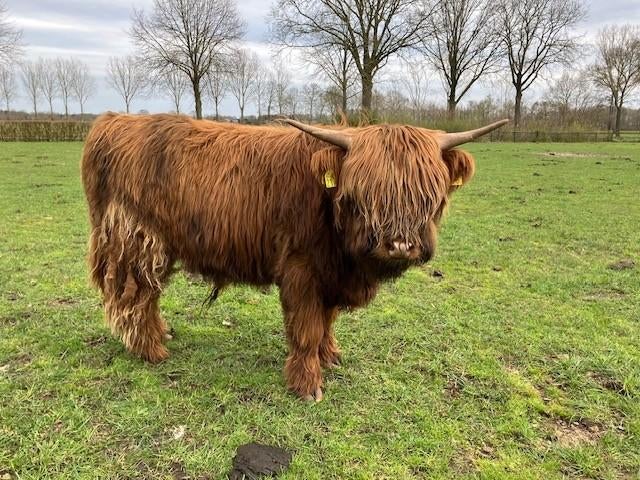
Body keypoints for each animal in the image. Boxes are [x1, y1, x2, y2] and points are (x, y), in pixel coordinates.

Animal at [81, 114, 508, 401]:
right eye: (363, 195)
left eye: (429, 196)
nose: (400, 244)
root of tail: (114, 120)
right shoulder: (301, 269)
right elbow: (306, 328)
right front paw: (307, 384)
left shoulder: (331, 274)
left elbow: (327, 321)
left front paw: (330, 356)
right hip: (139, 242)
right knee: (136, 297)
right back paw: (151, 350)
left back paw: (161, 334)